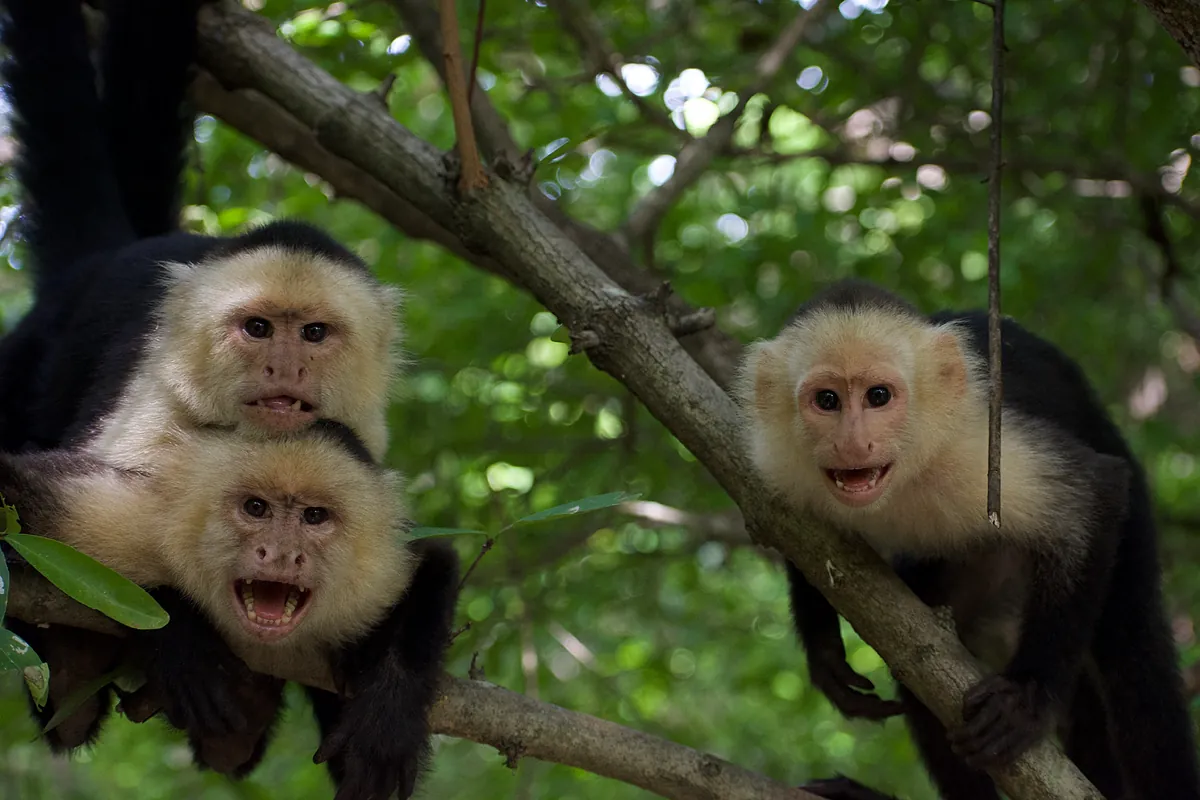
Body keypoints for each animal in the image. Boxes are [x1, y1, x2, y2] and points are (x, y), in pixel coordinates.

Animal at [0, 420, 459, 797]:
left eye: (315, 516)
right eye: (256, 508)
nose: (281, 553)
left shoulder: (373, 575)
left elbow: (434, 562)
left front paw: (389, 716)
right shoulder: (132, 519)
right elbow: (16, 490)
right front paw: (182, 639)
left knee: (231, 750)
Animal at [736, 279, 1200, 800]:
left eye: (879, 396)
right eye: (828, 400)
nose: (853, 444)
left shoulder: (976, 443)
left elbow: (1097, 493)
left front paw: (1027, 697)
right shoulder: (780, 460)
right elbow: (797, 538)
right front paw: (824, 651)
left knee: (1134, 659)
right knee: (916, 656)